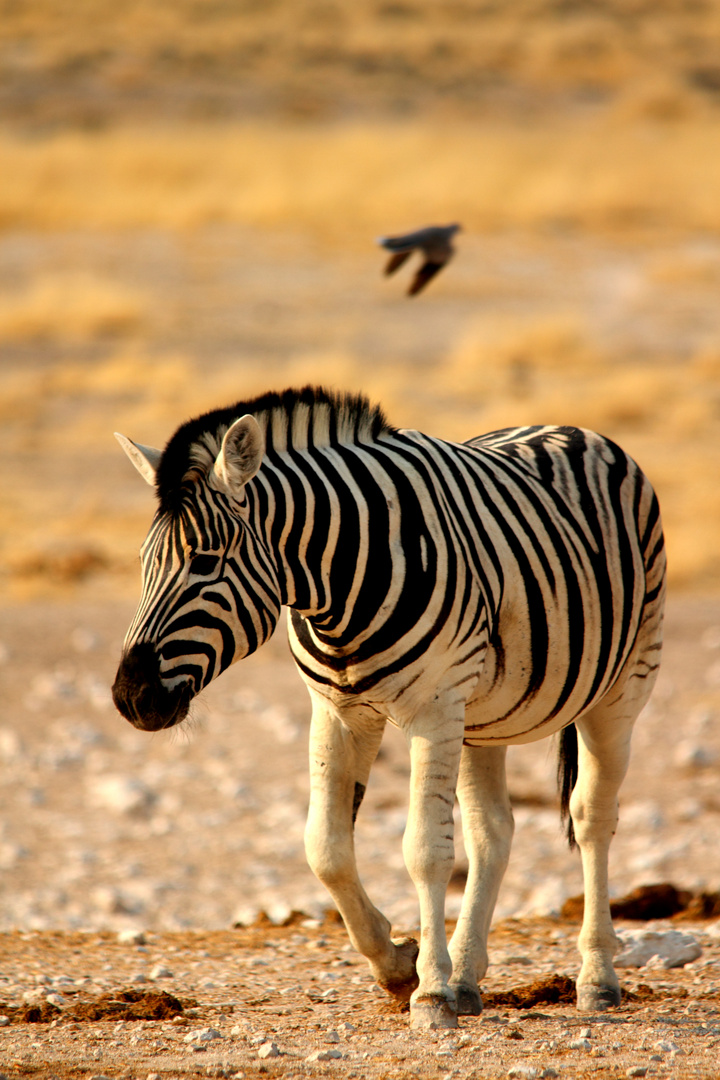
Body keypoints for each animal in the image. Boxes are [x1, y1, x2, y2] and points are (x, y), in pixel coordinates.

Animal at [110, 386, 669, 1028]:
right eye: (144, 563)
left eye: (205, 561)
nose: (129, 697)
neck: (338, 586)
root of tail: (574, 428)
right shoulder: (336, 710)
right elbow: (325, 847)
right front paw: (399, 965)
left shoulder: (434, 709)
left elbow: (425, 849)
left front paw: (430, 995)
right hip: (484, 717)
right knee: (492, 832)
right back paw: (468, 975)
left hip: (623, 685)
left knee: (591, 817)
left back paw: (595, 978)